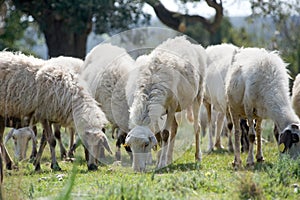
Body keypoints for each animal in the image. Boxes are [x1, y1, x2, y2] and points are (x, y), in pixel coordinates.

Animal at [124, 36, 206, 172]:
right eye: (129, 145)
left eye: (146, 144)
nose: (136, 169)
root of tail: (183, 39)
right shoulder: (157, 110)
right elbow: (158, 136)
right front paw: (159, 162)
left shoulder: (171, 107)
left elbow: (165, 135)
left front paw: (161, 164)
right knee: (175, 128)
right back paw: (169, 159)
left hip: (198, 95)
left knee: (197, 127)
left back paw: (197, 157)